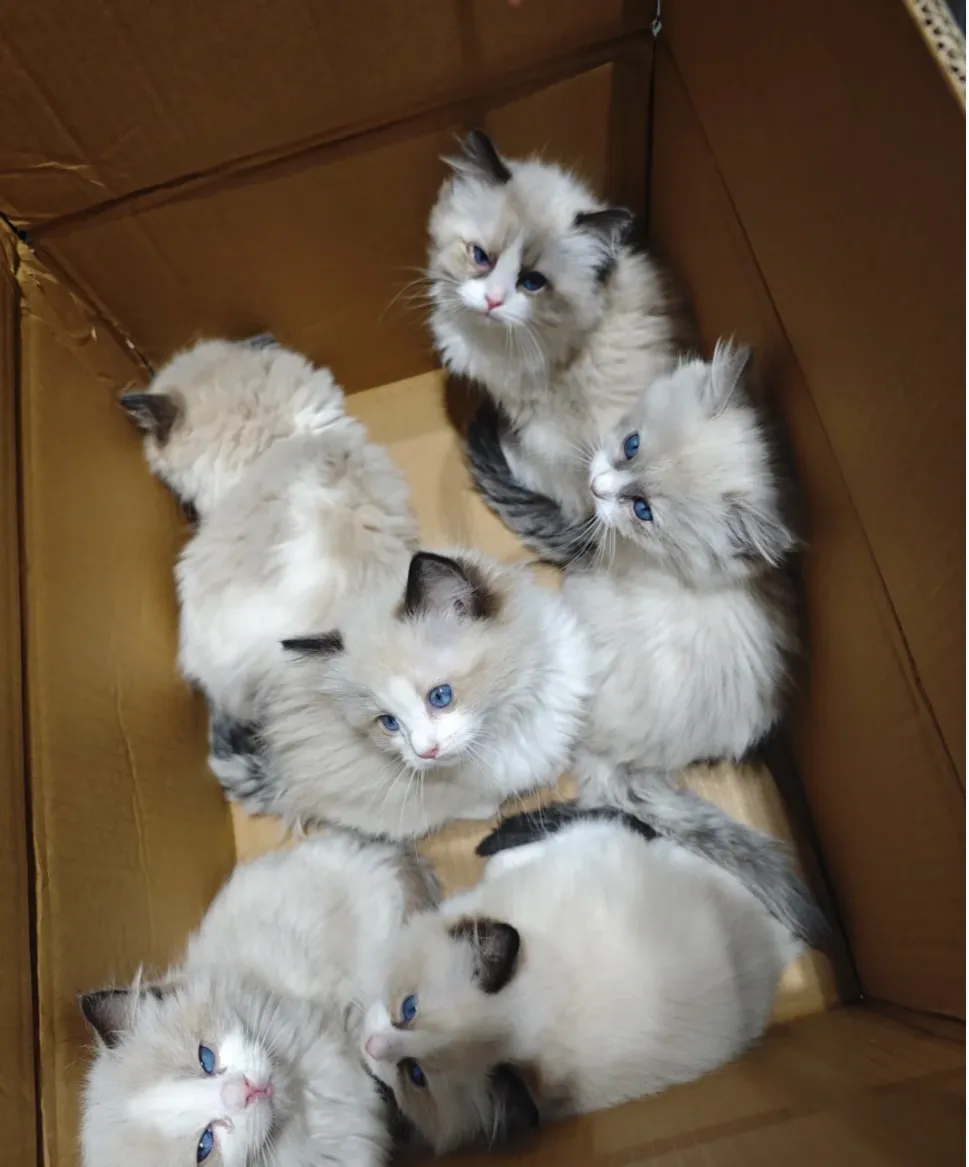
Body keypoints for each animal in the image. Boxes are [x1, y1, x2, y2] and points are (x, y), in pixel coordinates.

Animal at [213, 548, 590, 839]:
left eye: (440, 696)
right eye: (389, 723)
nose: (426, 752)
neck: (506, 722)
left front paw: (559, 763)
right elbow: (474, 802)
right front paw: (495, 802)